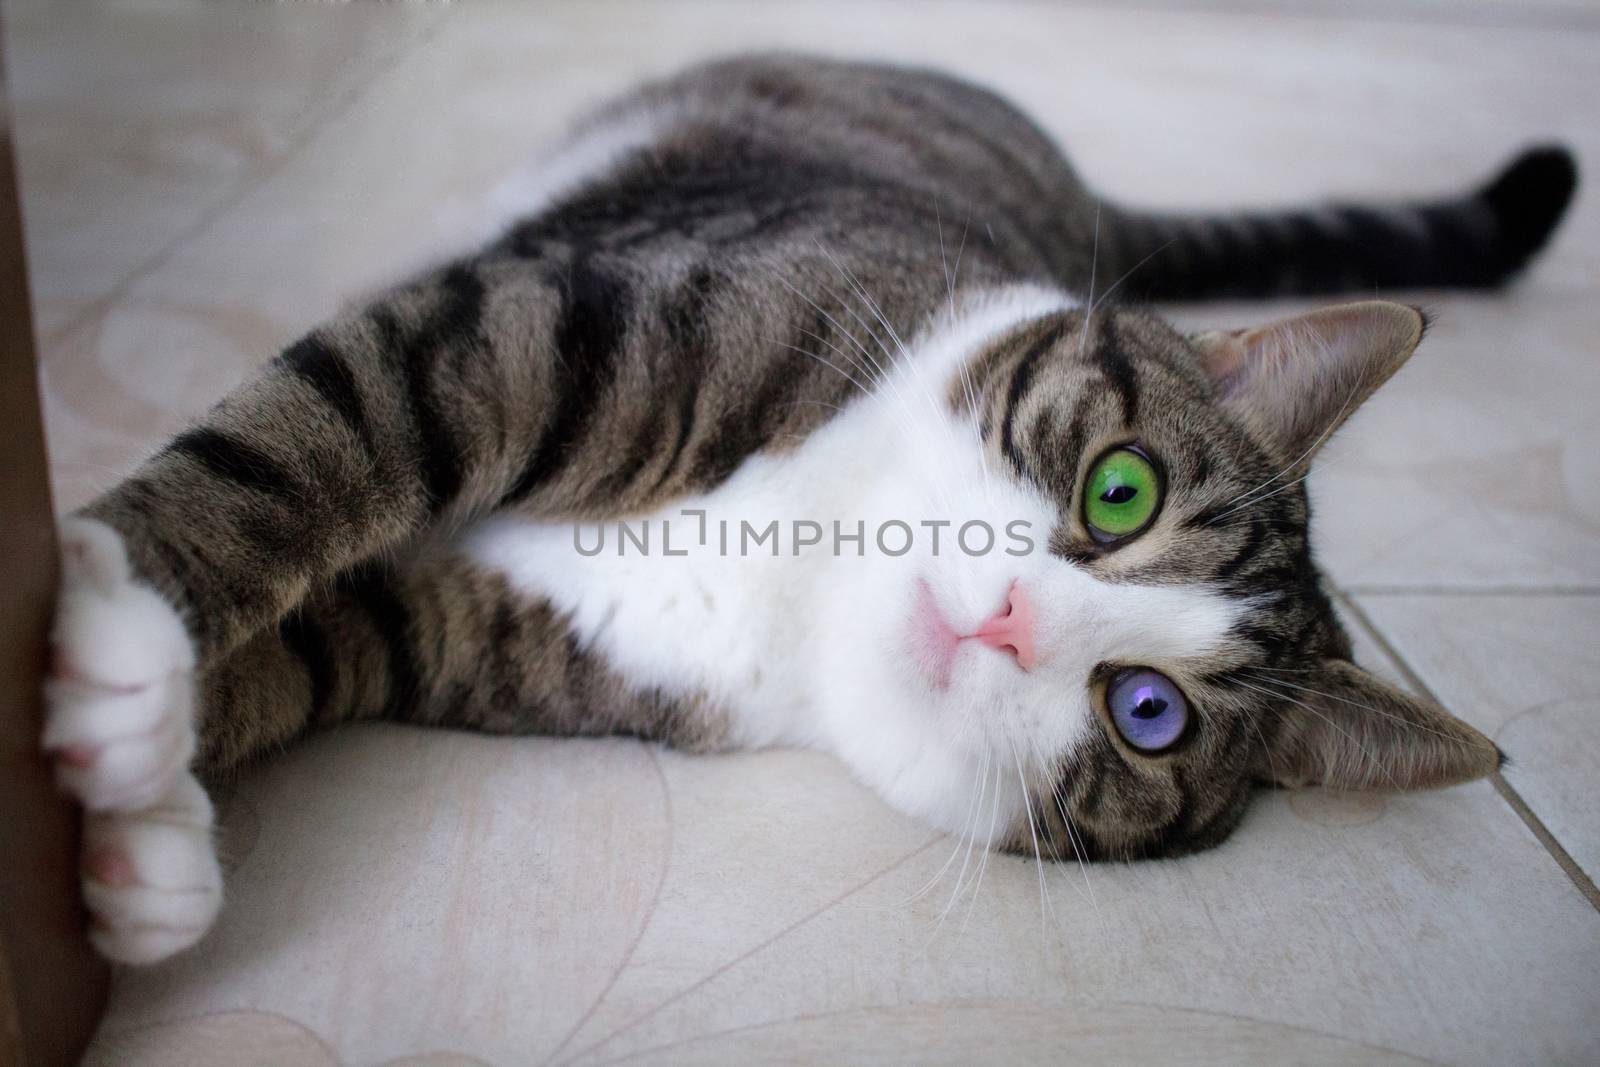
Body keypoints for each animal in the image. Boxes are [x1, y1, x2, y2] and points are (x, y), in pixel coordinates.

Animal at [40, 54, 1574, 966]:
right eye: (1119, 487)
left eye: (1150, 713)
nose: (1010, 618)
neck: (812, 559)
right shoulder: (576, 327)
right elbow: (316, 439)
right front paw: (115, 603)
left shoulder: (516, 633)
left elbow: (323, 644)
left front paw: (138, 813)